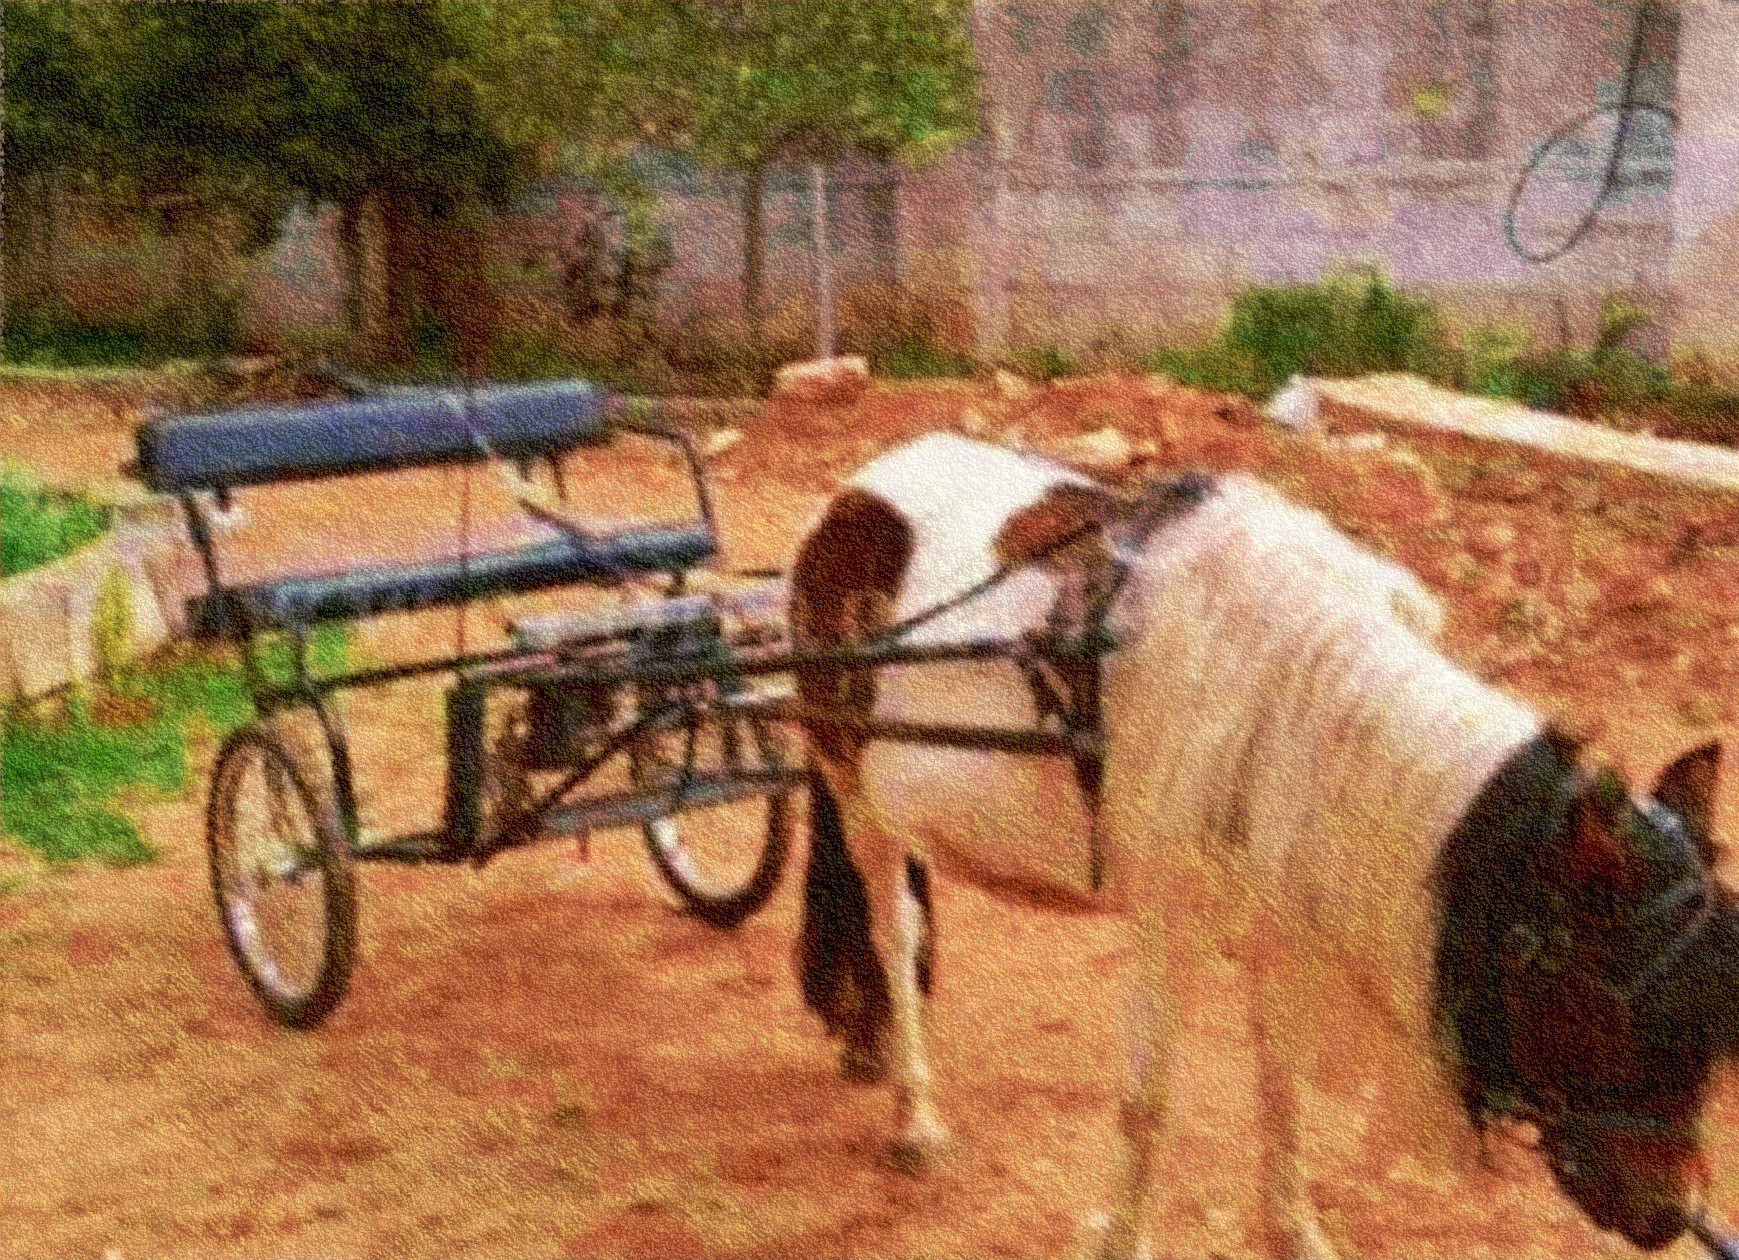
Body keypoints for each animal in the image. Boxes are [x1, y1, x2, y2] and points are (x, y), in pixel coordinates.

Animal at [788, 431, 1739, 1259]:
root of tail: (848, 500)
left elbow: (1281, 1086)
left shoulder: (1281, 922)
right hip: (850, 783)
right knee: (894, 929)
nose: (1669, 1212)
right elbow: (1145, 1101)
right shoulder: (1162, 916)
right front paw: (1121, 1237)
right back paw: (914, 1115)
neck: (1292, 707)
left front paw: (1296, 1230)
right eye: (1601, 1014)